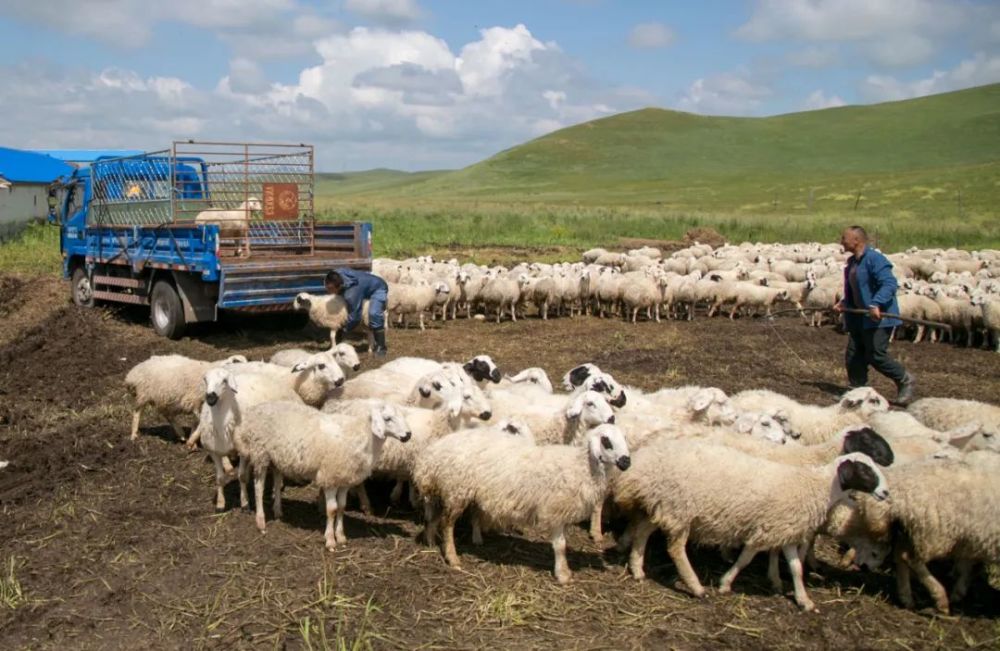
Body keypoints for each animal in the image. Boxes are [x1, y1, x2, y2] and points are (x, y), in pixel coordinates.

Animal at [414, 426, 632, 584]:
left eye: (624, 438)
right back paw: (452, 557)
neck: (581, 466)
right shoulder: (554, 511)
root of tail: (433, 453)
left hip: (460, 490)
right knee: (447, 523)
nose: (625, 462)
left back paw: (437, 540)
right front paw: (563, 575)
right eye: (606, 440)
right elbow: (560, 546)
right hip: (456, 488)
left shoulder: (562, 513)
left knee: (442, 515)